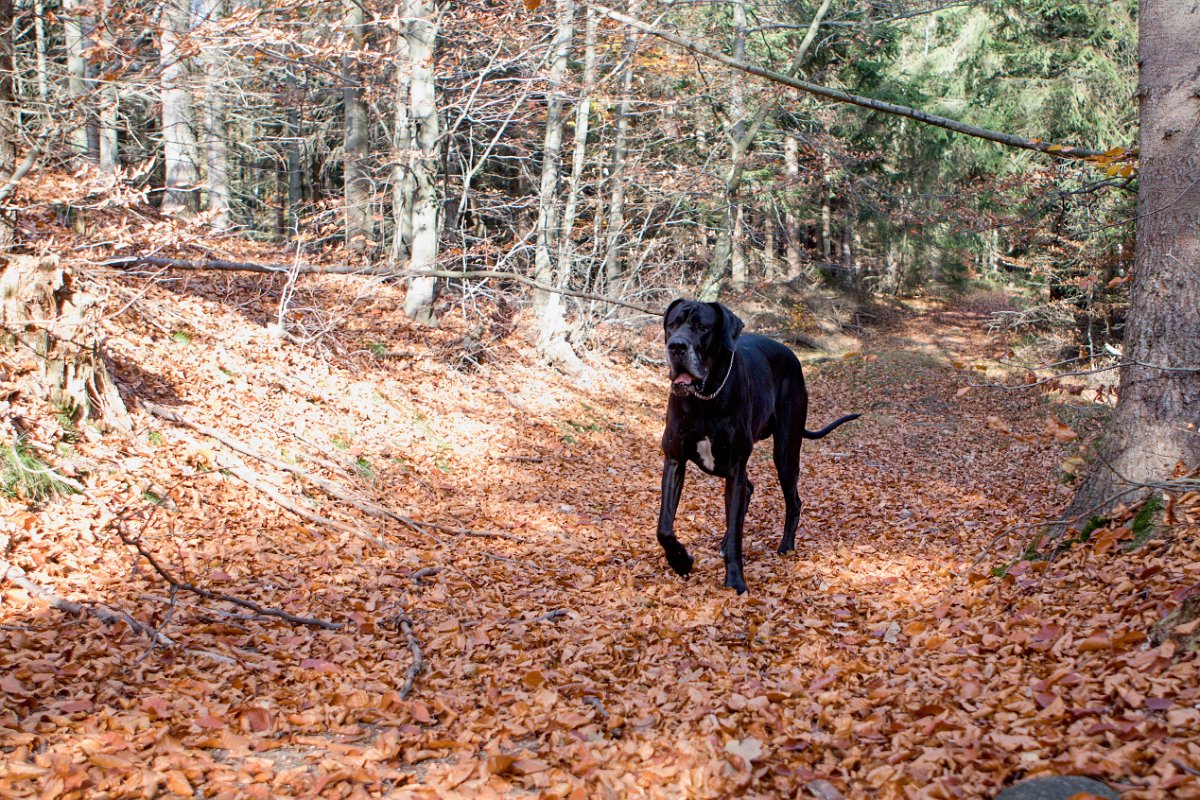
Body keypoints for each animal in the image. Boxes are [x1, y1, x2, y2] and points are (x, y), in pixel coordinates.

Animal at [662, 299, 859, 594]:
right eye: (672, 325)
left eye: (703, 328)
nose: (676, 346)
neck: (705, 399)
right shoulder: (675, 460)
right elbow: (664, 528)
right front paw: (681, 561)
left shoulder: (734, 468)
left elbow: (736, 533)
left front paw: (735, 580)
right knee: (749, 490)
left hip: (785, 453)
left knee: (793, 501)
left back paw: (786, 546)